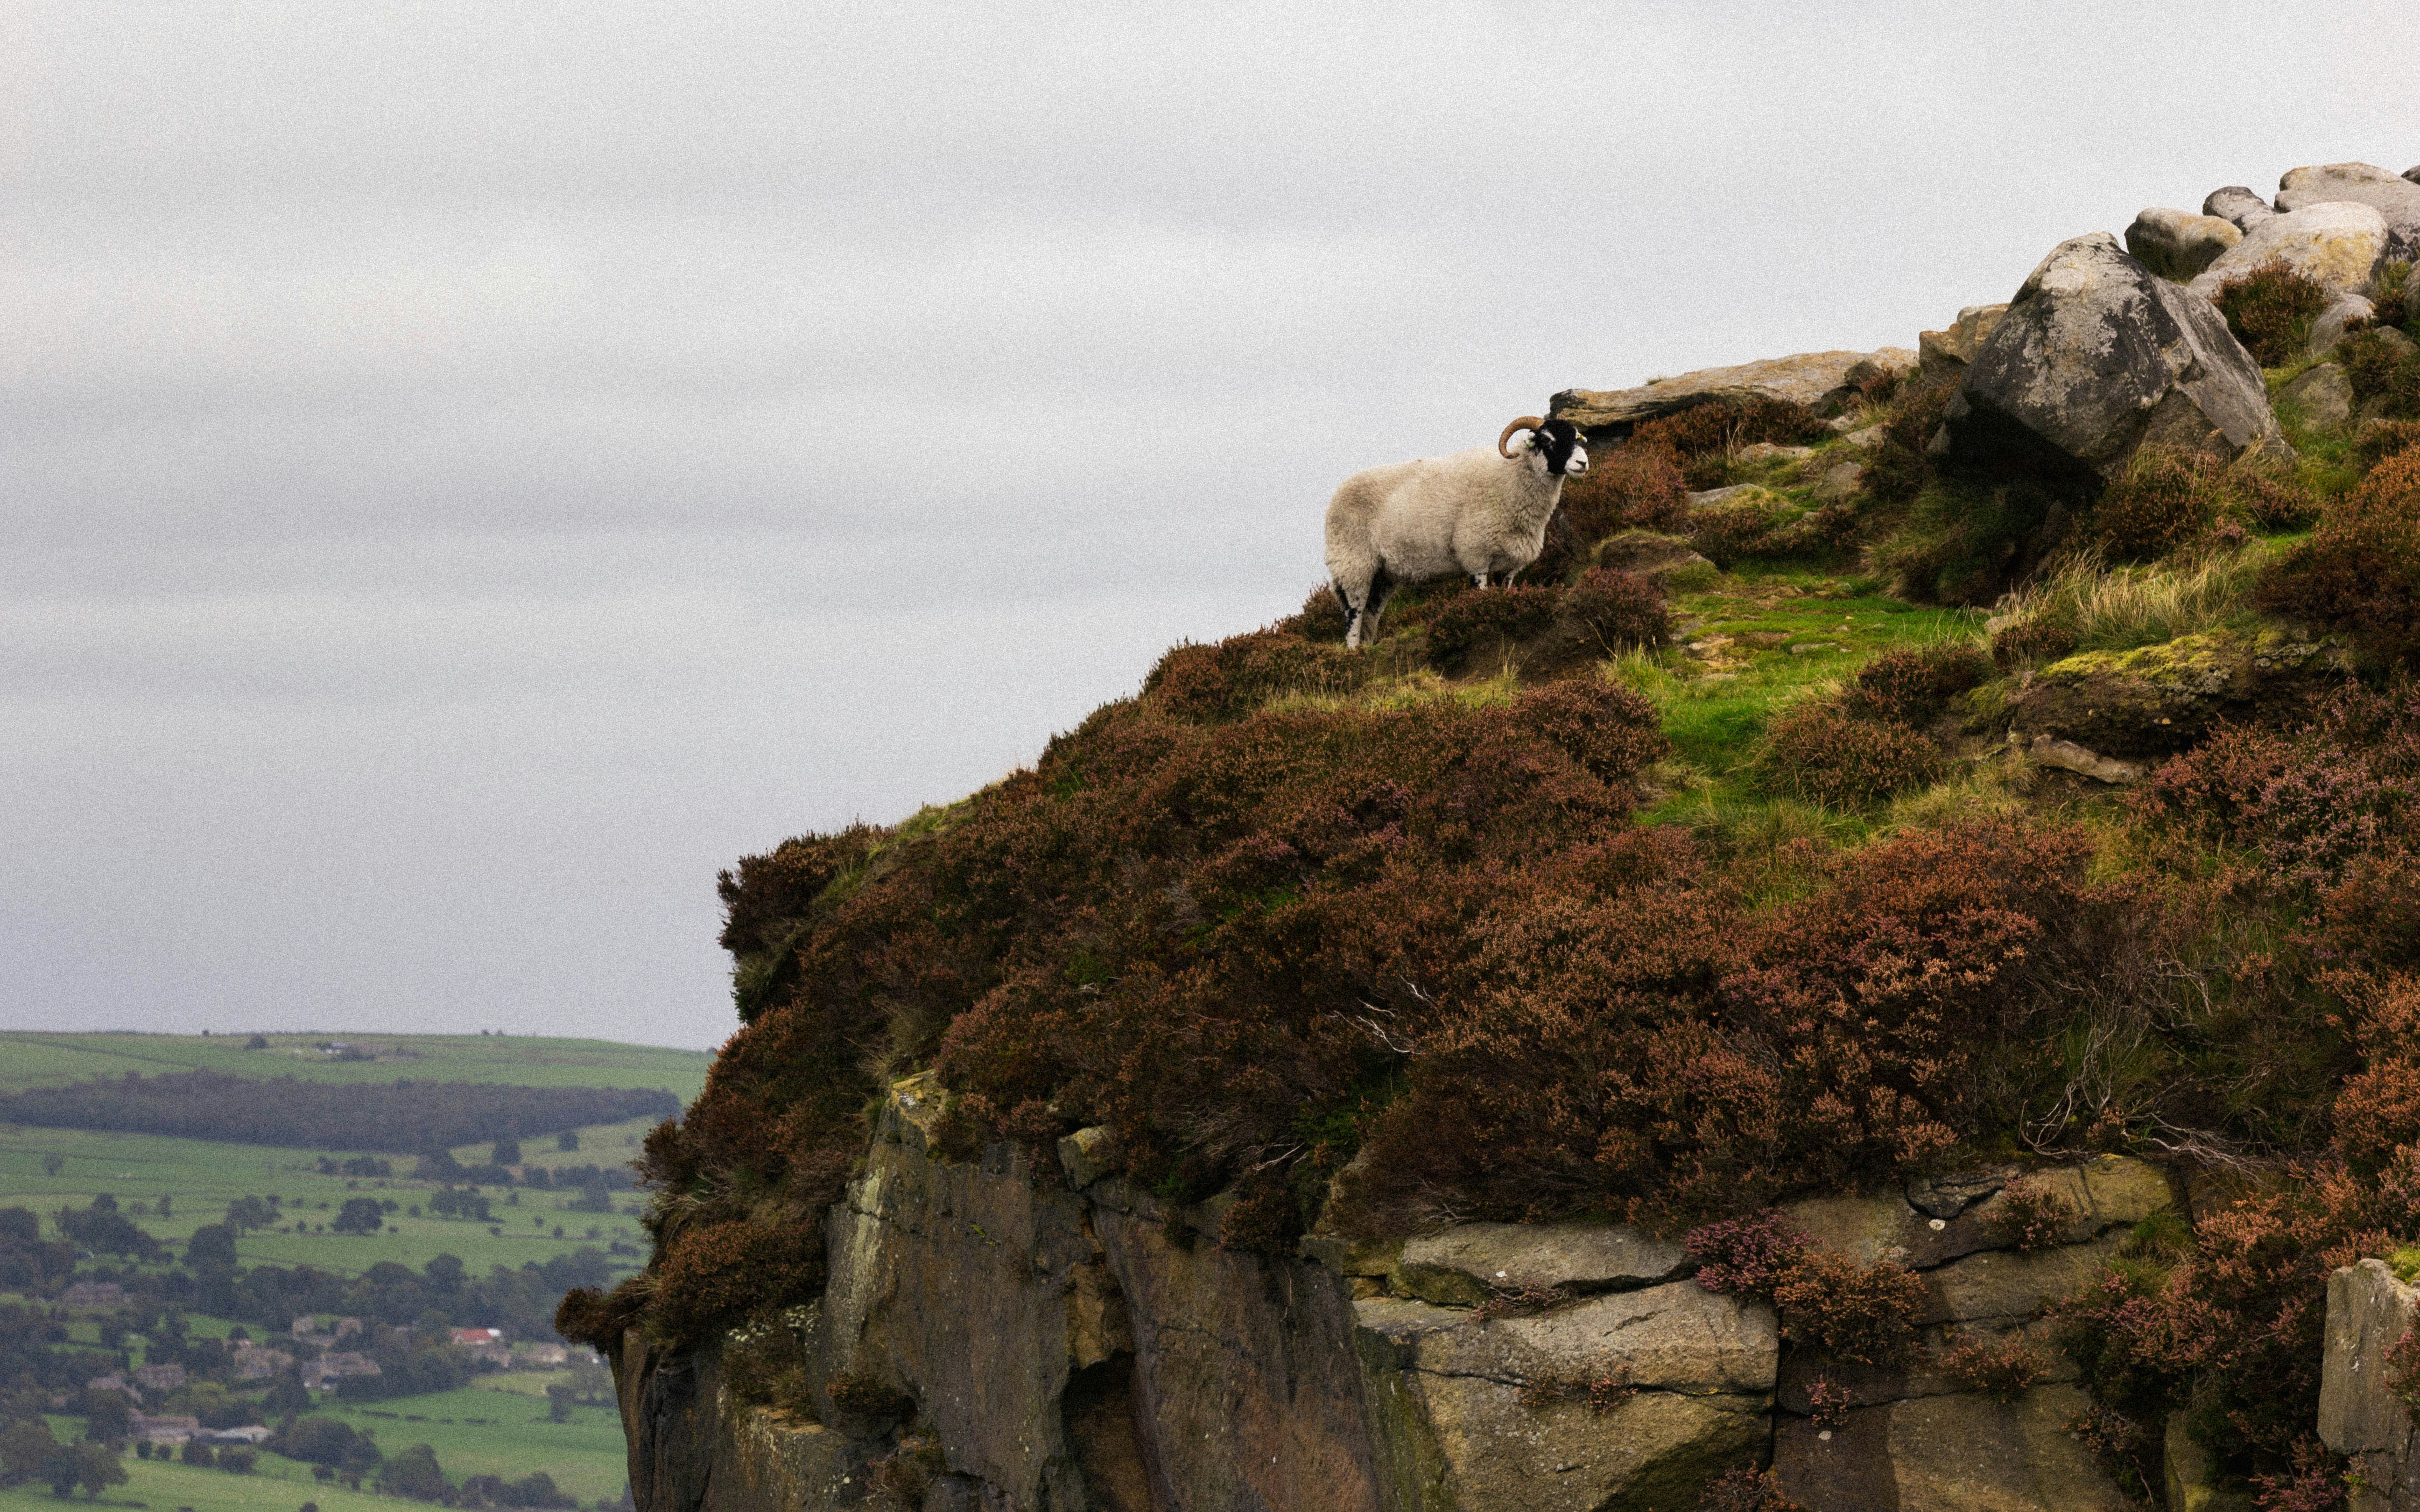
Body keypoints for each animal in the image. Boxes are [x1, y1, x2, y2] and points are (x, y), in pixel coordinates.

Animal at [1323, 416, 1587, 648]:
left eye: (1577, 438)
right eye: (1547, 439)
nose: (1583, 464)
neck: (1510, 479)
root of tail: (1336, 496)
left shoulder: (1510, 566)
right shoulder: (1476, 555)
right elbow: (1481, 597)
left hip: (1383, 574)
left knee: (1371, 612)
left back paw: (1368, 648)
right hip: (1353, 563)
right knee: (1354, 613)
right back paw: (1353, 652)